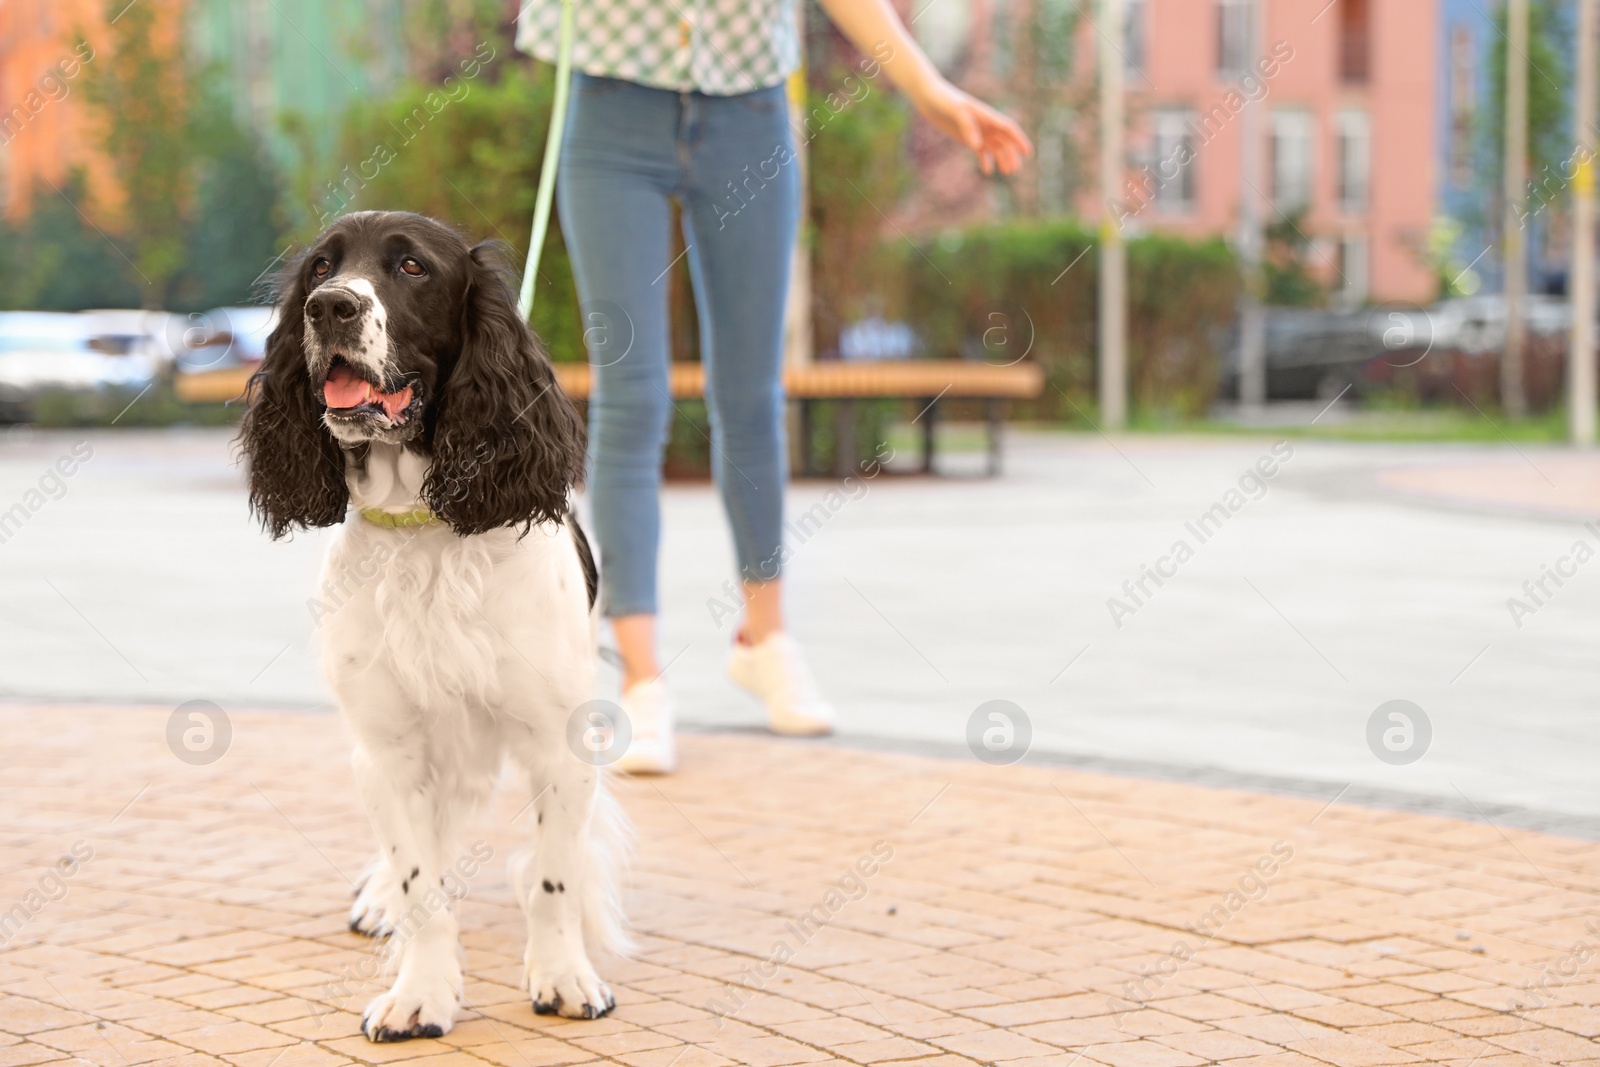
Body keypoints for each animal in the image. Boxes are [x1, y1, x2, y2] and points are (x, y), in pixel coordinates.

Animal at [240, 211, 627, 1043]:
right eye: (321, 267)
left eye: (412, 267)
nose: (330, 307)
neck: (425, 529)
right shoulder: (388, 748)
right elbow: (422, 883)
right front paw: (421, 991)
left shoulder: (557, 741)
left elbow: (552, 876)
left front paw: (563, 974)